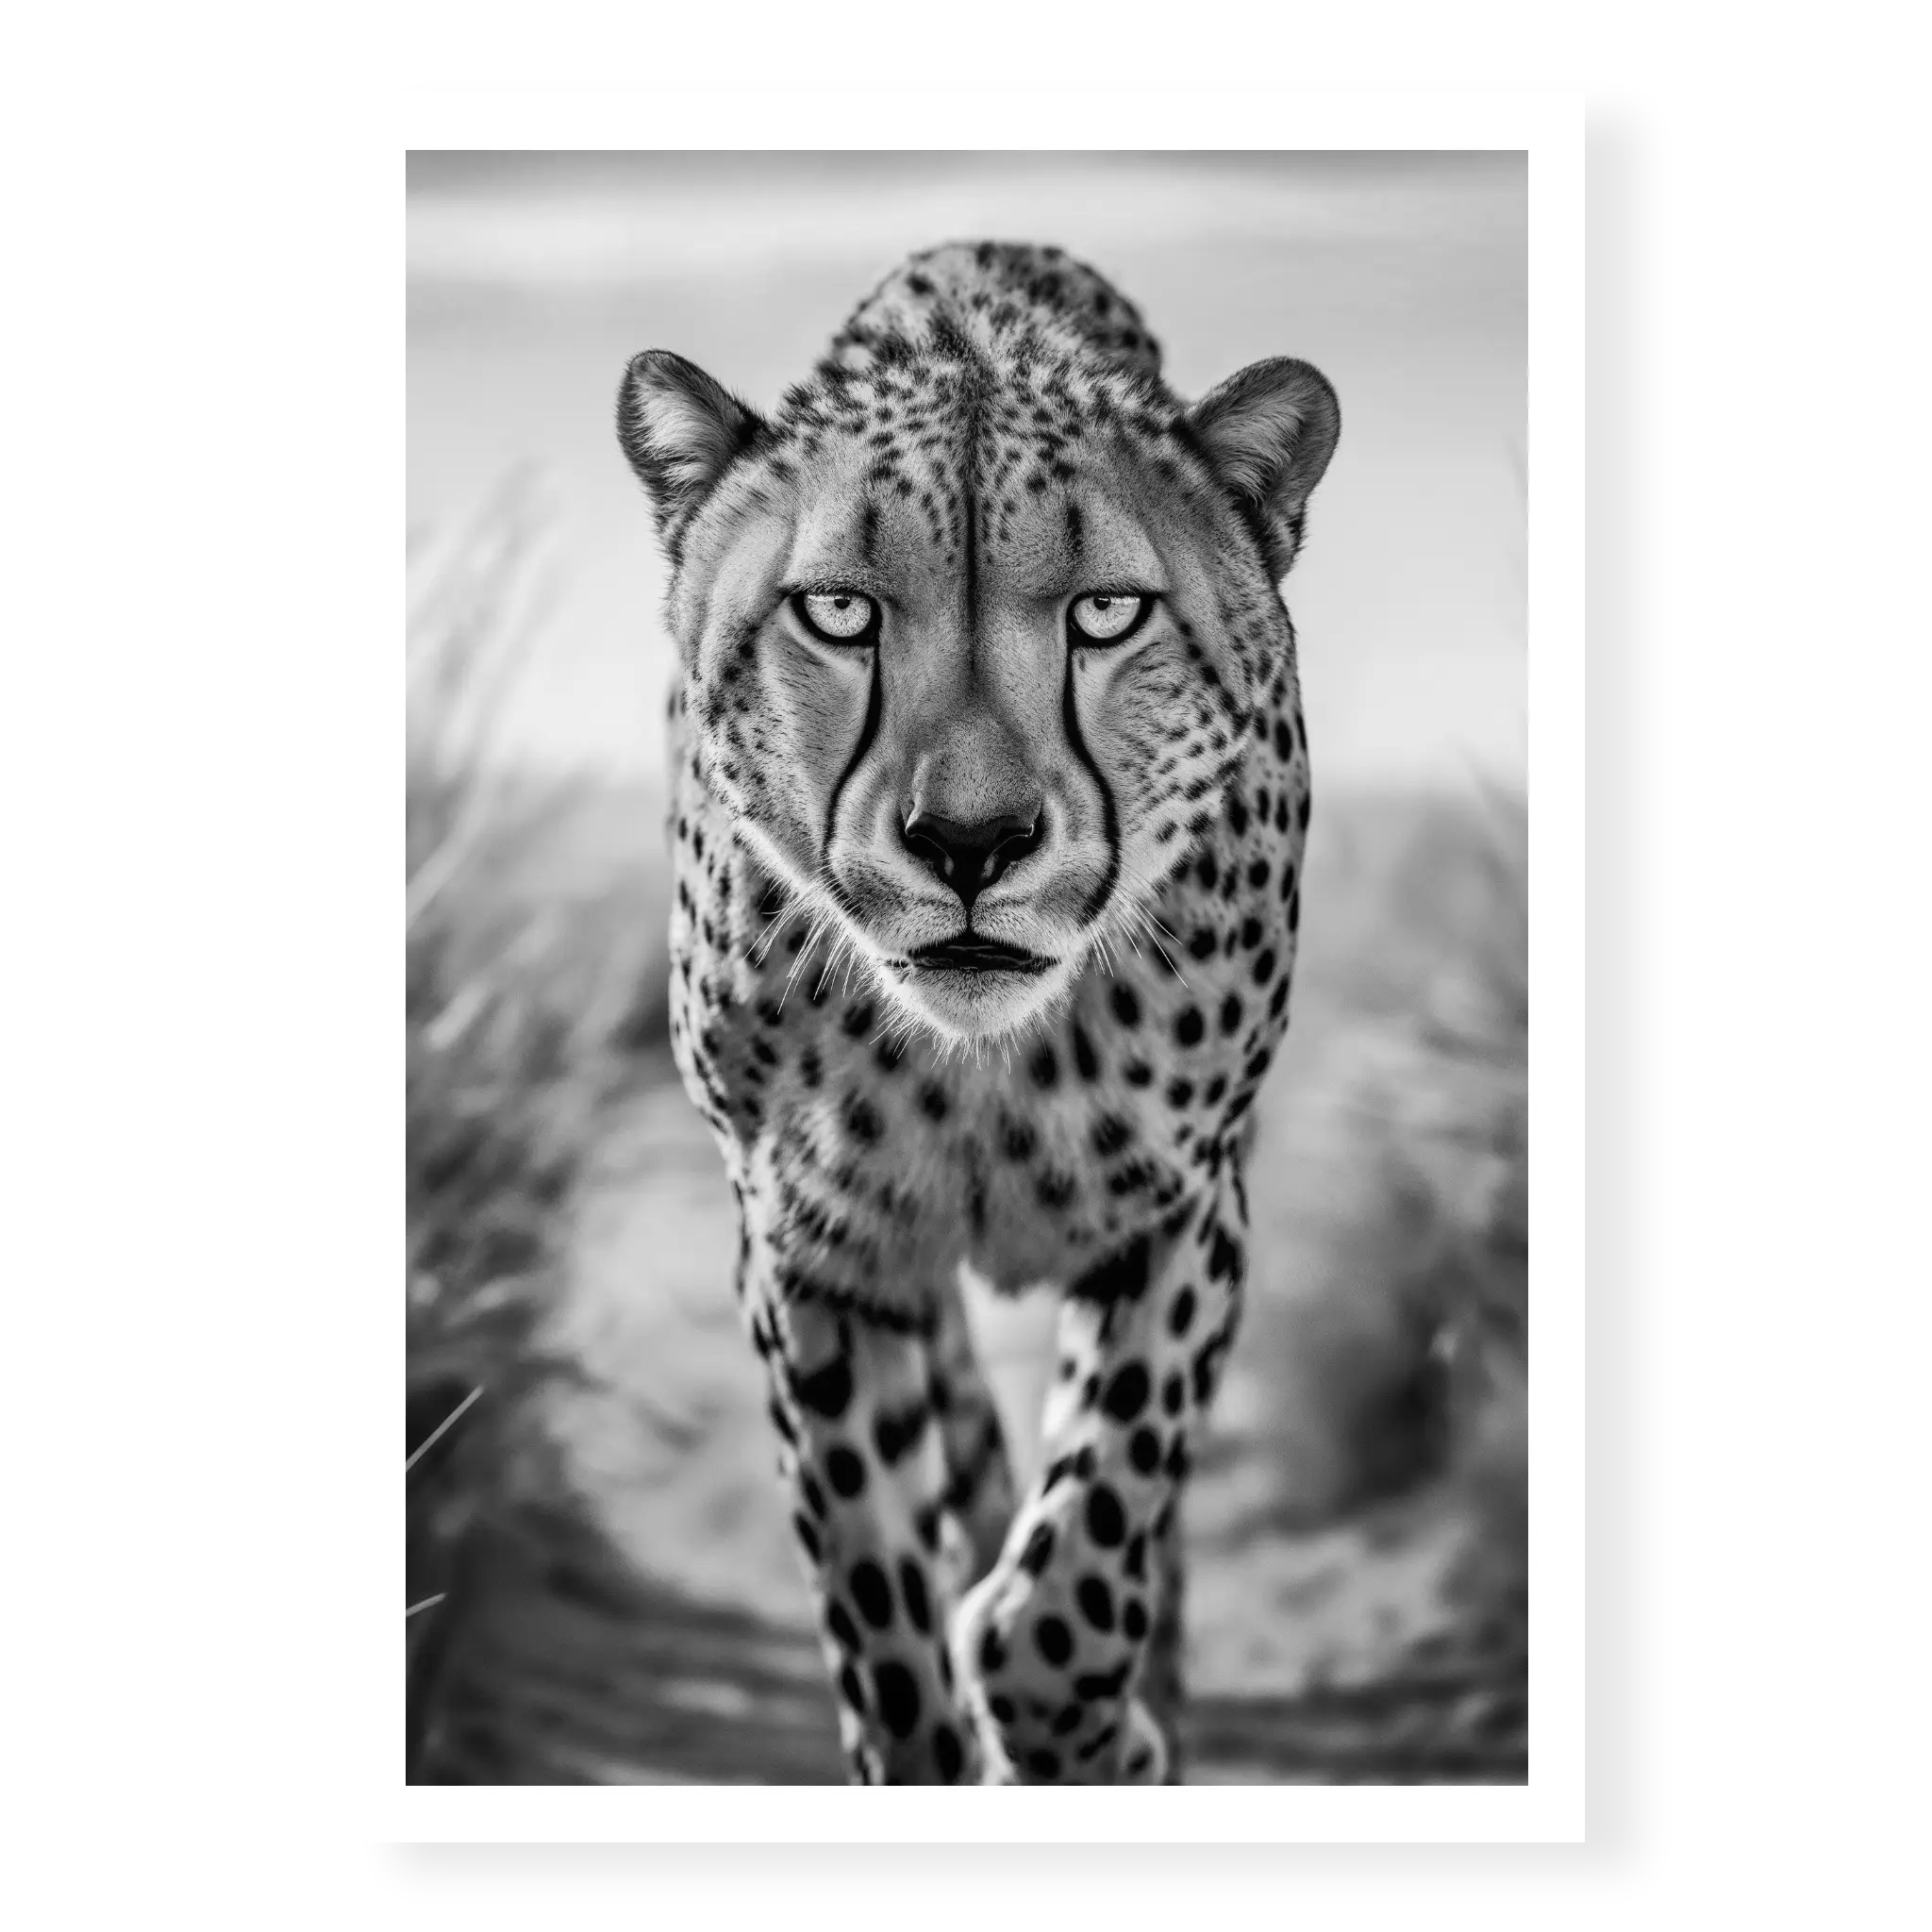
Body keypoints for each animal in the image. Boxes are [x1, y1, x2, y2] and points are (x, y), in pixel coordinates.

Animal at [615, 240, 1339, 1785]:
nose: (969, 840)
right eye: (837, 610)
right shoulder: (812, 1252)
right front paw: (946, 1727)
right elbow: (878, 1603)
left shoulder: (1186, 1208)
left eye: (1106, 613)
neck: (979, 1062)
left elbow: (1091, 1539)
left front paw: (1096, 1732)